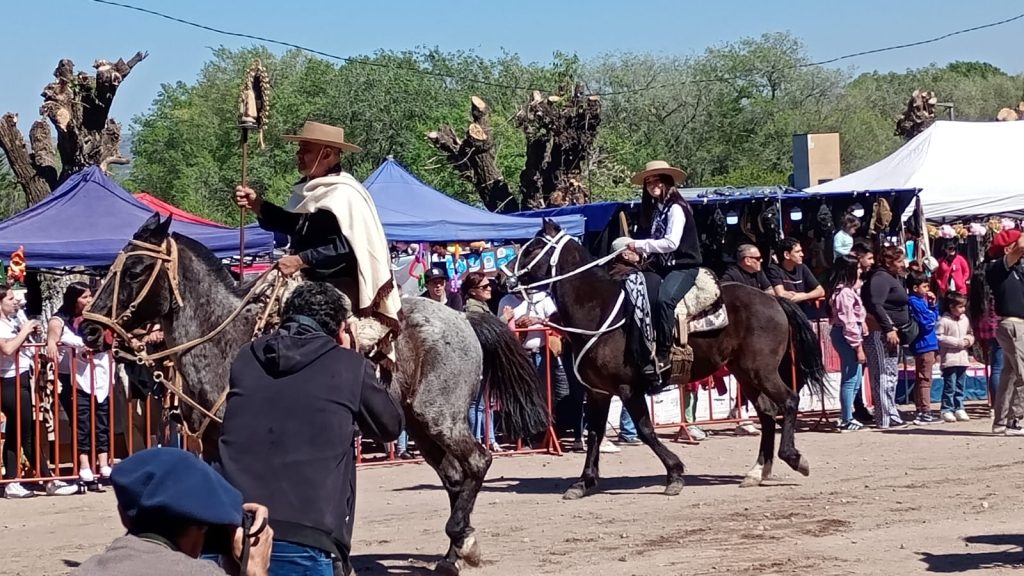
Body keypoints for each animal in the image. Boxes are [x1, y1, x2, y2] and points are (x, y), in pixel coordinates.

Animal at [79, 214, 549, 576]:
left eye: (136, 271)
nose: (88, 329)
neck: (224, 336)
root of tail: (464, 318)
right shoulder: (212, 442)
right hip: (418, 423)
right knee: (455, 475)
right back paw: (453, 552)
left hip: (441, 415)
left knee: (476, 462)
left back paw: (461, 546)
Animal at [511, 219, 828, 499]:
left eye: (534, 246)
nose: (505, 276)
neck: (598, 308)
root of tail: (773, 300)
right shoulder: (598, 392)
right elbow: (595, 434)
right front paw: (584, 482)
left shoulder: (628, 389)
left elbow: (646, 431)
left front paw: (674, 473)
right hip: (744, 373)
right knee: (766, 412)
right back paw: (757, 471)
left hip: (762, 371)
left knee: (788, 401)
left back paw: (793, 458)